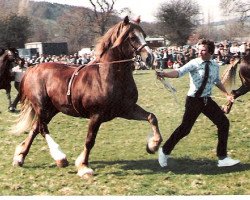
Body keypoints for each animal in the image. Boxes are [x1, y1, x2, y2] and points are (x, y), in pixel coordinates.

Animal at [11, 16, 163, 177]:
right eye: (132, 37)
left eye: (144, 35)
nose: (150, 58)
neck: (106, 77)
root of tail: (32, 68)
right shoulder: (96, 115)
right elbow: (90, 140)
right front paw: (84, 166)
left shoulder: (126, 109)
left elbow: (151, 117)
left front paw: (153, 145)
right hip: (42, 107)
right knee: (42, 128)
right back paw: (59, 157)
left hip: (52, 109)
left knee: (35, 128)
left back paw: (21, 157)